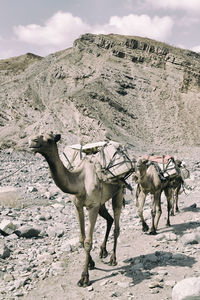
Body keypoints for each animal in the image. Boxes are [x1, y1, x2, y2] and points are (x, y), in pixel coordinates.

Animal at [28, 133, 125, 286]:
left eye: (49, 139)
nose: (32, 141)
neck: (80, 181)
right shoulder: (78, 206)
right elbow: (81, 239)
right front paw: (91, 263)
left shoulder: (92, 206)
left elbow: (88, 242)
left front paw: (84, 277)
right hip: (102, 202)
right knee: (109, 219)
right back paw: (103, 251)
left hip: (118, 192)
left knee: (116, 225)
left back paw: (113, 259)